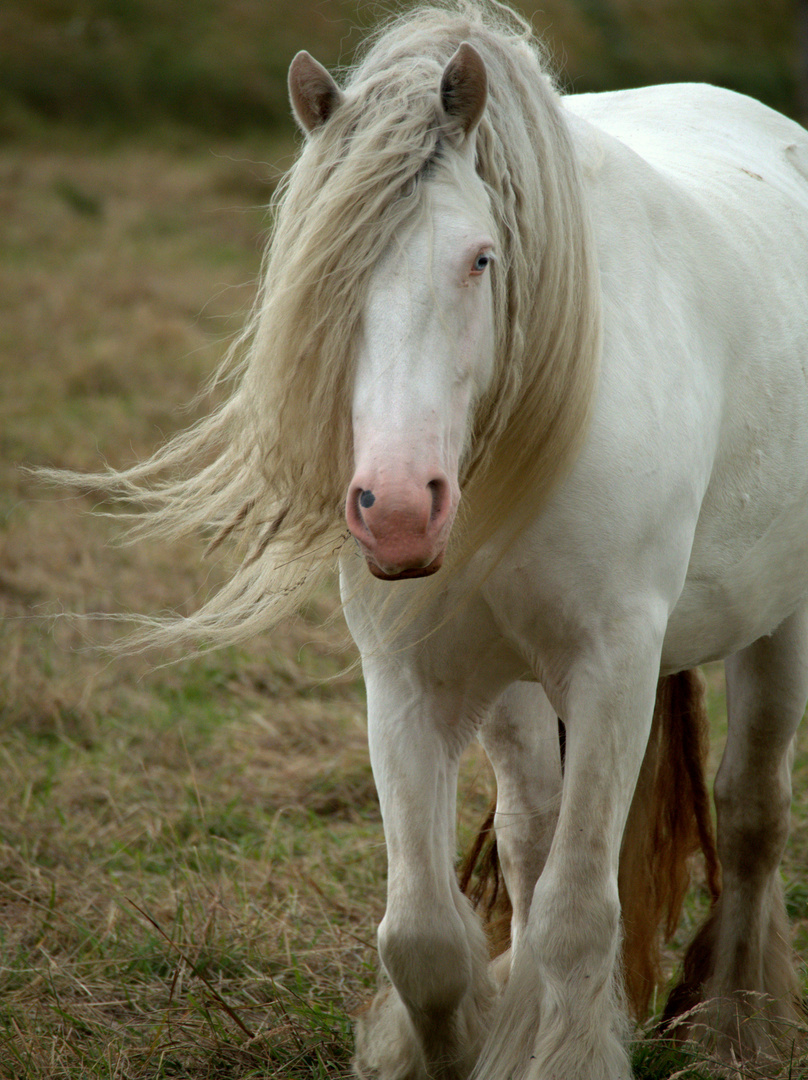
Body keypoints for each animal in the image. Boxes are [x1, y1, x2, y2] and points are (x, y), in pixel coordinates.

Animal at [53, 2, 803, 1080]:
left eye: (481, 258)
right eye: (322, 273)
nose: (400, 510)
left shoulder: (613, 665)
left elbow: (578, 912)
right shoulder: (411, 679)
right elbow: (425, 938)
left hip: (774, 622)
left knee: (750, 813)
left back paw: (740, 1021)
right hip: (518, 683)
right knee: (533, 838)